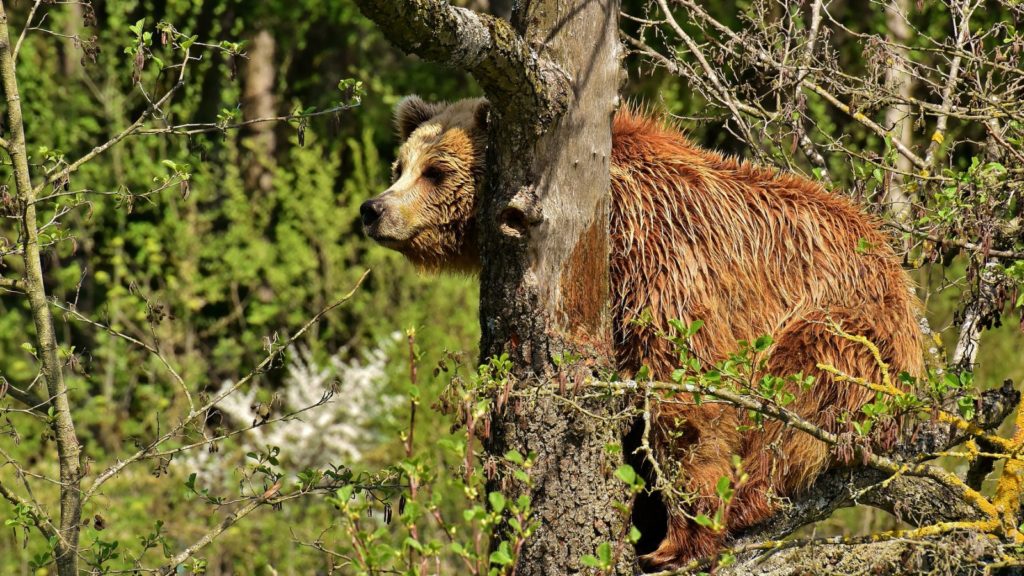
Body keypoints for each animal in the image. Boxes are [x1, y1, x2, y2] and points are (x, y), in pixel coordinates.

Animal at [362, 96, 929, 565]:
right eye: (399, 166)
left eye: (436, 172)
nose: (374, 209)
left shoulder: (666, 254)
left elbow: (687, 394)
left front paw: (680, 536)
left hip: (849, 326)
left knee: (799, 389)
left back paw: (748, 498)